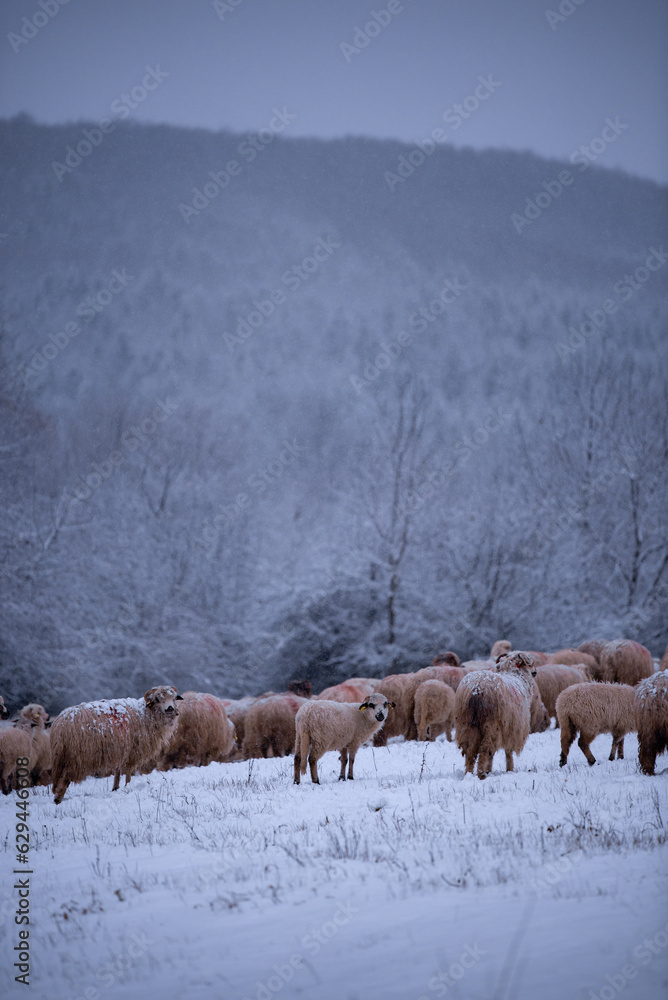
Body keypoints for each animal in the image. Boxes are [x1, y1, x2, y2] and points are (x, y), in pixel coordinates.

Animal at [50, 686, 183, 804]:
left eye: (174, 698)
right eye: (158, 699)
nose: (170, 708)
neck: (145, 715)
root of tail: (60, 724)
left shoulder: (121, 750)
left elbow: (118, 772)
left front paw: (115, 788)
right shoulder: (133, 751)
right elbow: (128, 772)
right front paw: (127, 786)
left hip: (63, 757)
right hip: (74, 757)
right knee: (64, 780)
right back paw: (57, 800)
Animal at [454, 651, 537, 780]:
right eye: (530, 664)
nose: (535, 672)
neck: (516, 676)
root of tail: (477, 689)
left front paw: (491, 770)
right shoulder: (512, 729)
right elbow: (508, 752)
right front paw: (509, 770)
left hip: (466, 724)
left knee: (470, 750)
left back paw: (469, 773)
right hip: (491, 726)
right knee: (485, 750)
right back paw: (481, 773)